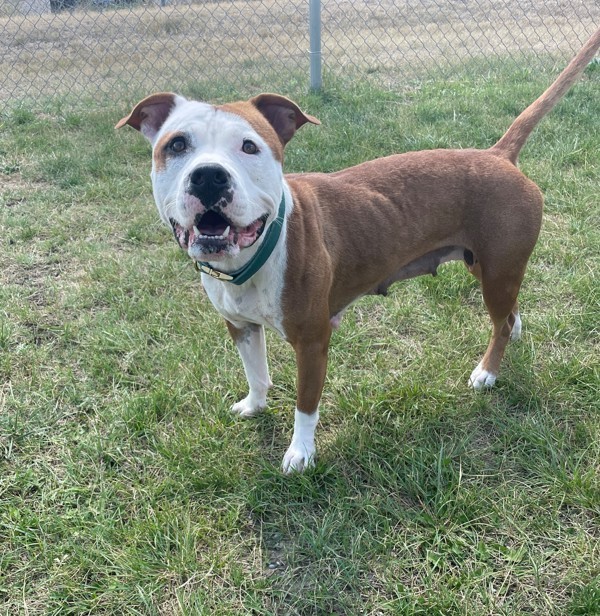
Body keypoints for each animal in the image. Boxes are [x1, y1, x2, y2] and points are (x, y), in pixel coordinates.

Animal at [117, 28, 600, 472]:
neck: (252, 256)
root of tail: (498, 155)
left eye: (249, 146)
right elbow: (257, 373)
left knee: (497, 323)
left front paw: (300, 454)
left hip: (496, 272)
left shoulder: (312, 342)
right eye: (177, 145)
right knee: (508, 312)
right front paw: (254, 406)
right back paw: (513, 331)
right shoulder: (240, 327)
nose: (209, 176)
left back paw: (488, 371)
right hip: (487, 265)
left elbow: (305, 405)